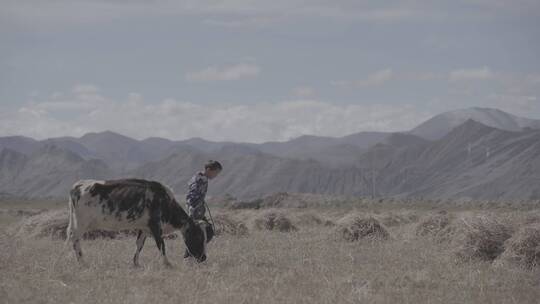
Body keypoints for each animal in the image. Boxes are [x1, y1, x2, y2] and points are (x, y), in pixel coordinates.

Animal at [66, 178, 210, 266]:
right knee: (75, 239)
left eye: (207, 238)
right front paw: (167, 263)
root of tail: (78, 185)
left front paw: (135, 263)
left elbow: (139, 244)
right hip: (81, 223)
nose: (203, 258)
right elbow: (161, 245)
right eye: (198, 236)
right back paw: (82, 261)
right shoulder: (155, 225)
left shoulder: (144, 227)